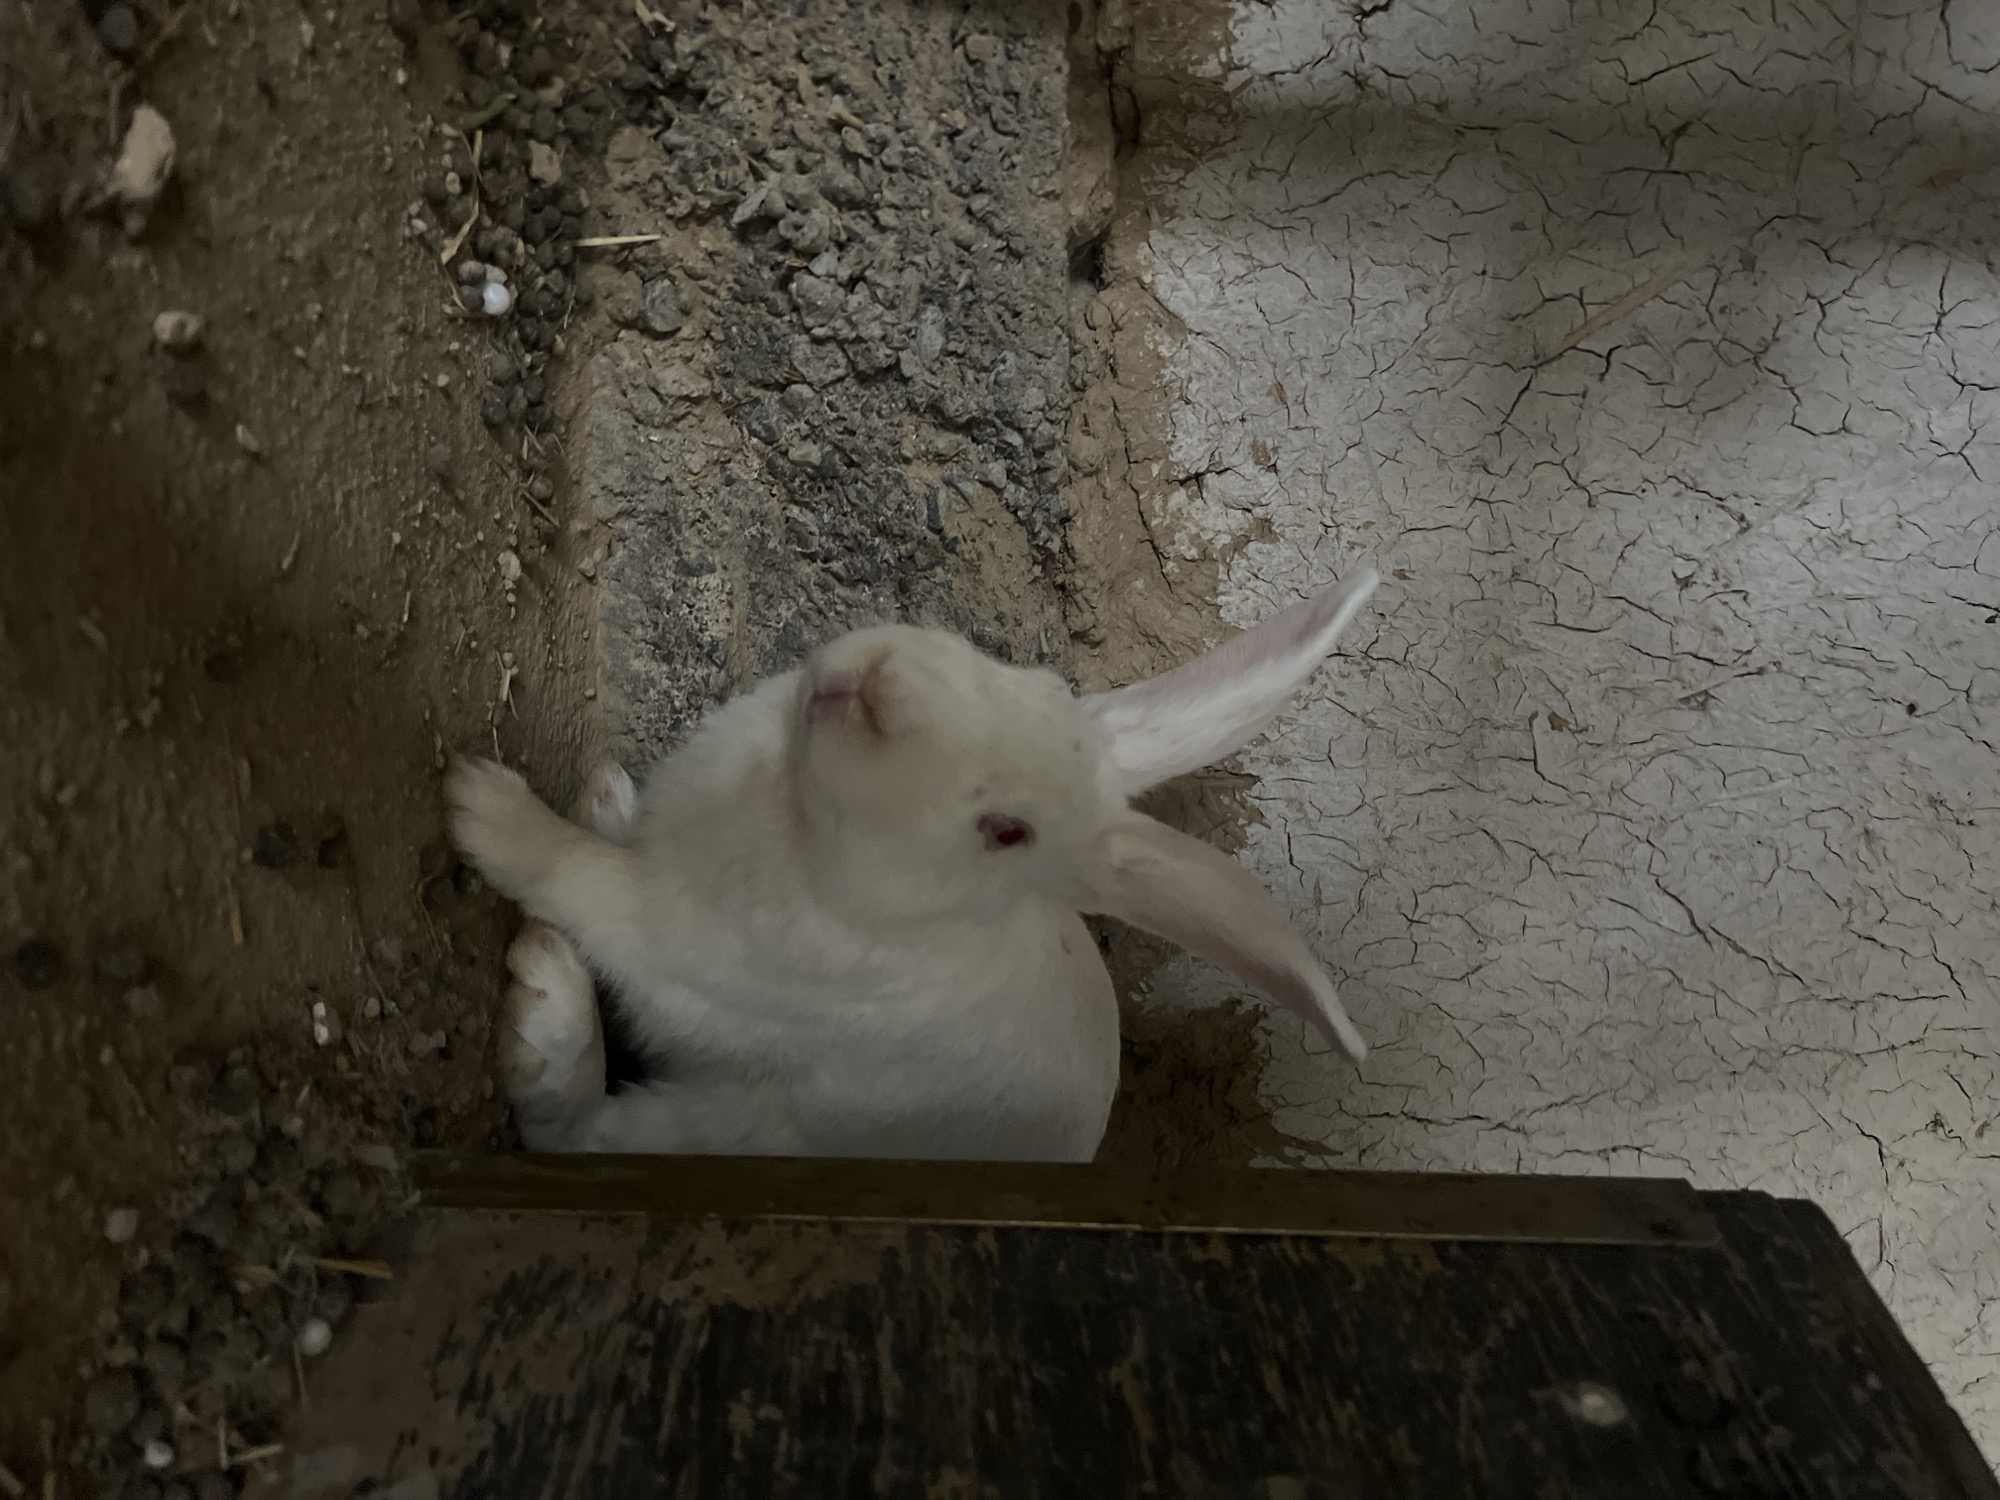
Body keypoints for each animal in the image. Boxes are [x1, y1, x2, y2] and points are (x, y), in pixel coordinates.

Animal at [446, 568, 1379, 1162]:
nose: (877, 688)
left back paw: (542, 997)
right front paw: (607, 803)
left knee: (575, 1135)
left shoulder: (680, 942)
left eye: (1008, 833)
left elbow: (582, 879)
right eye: (1034, 680)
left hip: (739, 1132)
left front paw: (481, 805)